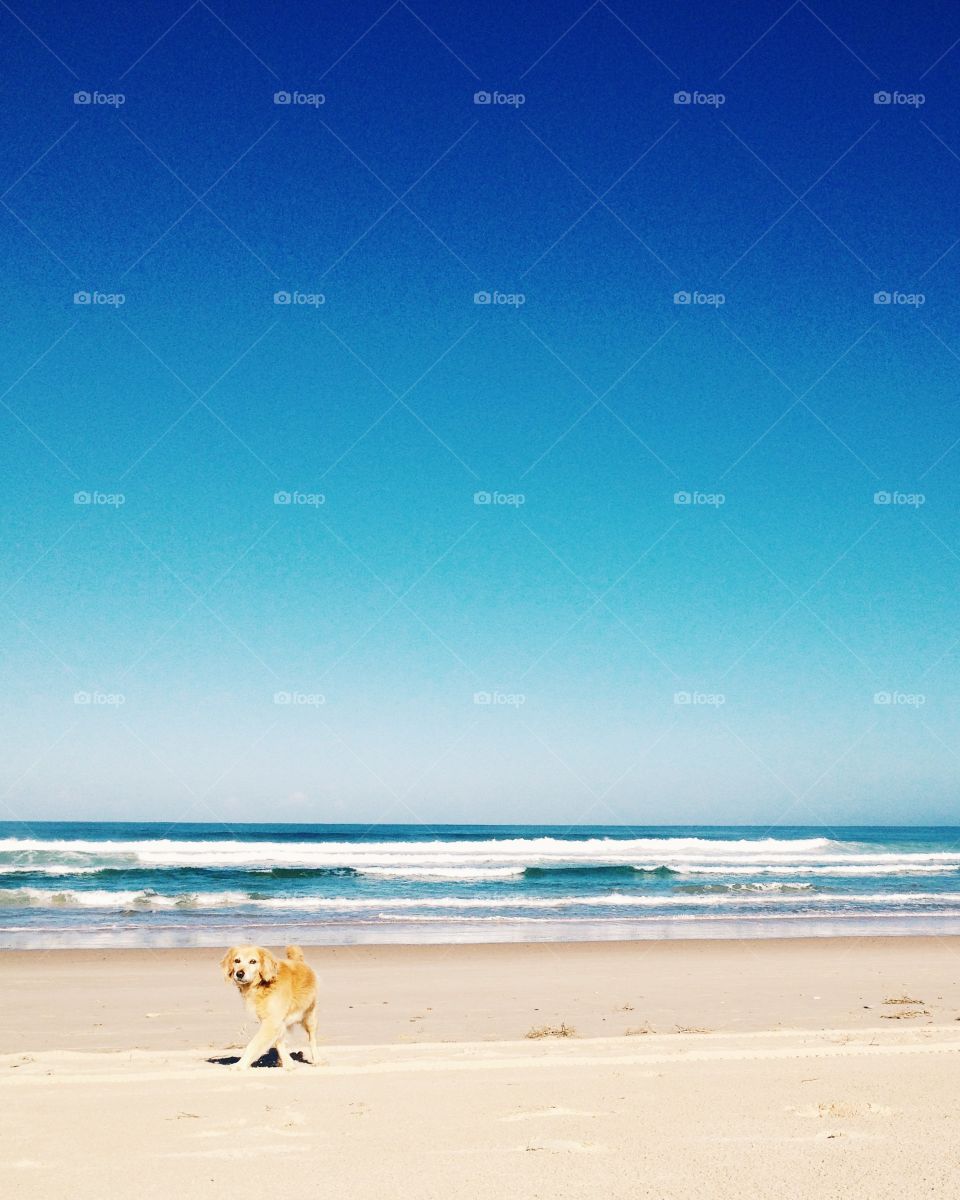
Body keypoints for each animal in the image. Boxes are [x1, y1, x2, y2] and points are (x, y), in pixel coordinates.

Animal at [219, 940, 321, 1075]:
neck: (262, 985)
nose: (239, 973)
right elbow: (278, 1042)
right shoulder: (271, 1022)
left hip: (309, 1017)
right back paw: (284, 1062)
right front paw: (288, 1063)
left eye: (253, 961)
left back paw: (317, 1060)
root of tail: (299, 961)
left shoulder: (272, 1022)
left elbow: (253, 1044)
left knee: (312, 1039)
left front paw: (239, 1065)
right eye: (237, 960)